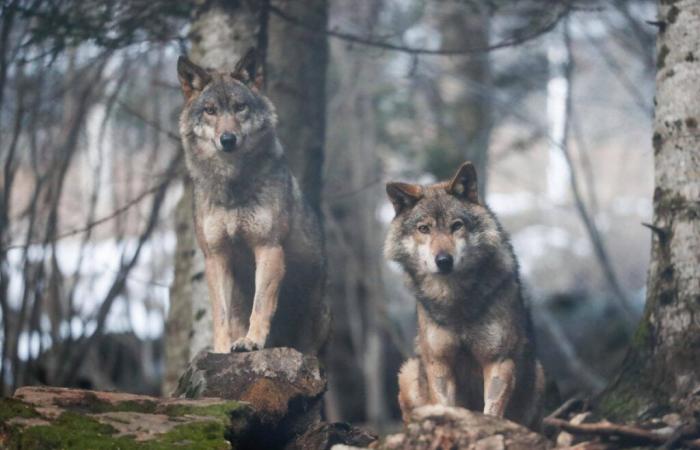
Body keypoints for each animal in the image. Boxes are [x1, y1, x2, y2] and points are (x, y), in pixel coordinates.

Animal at [175, 49, 328, 356]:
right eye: (210, 110)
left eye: (239, 107)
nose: (227, 139)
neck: (233, 185)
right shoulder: (216, 256)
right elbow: (220, 315)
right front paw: (222, 349)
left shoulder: (268, 248)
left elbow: (261, 305)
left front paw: (251, 342)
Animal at [386, 162, 544, 428]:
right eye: (424, 229)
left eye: (456, 225)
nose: (443, 261)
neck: (455, 301)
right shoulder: (439, 363)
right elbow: (445, 407)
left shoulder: (498, 361)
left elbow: (491, 411)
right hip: (408, 372)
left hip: (539, 375)